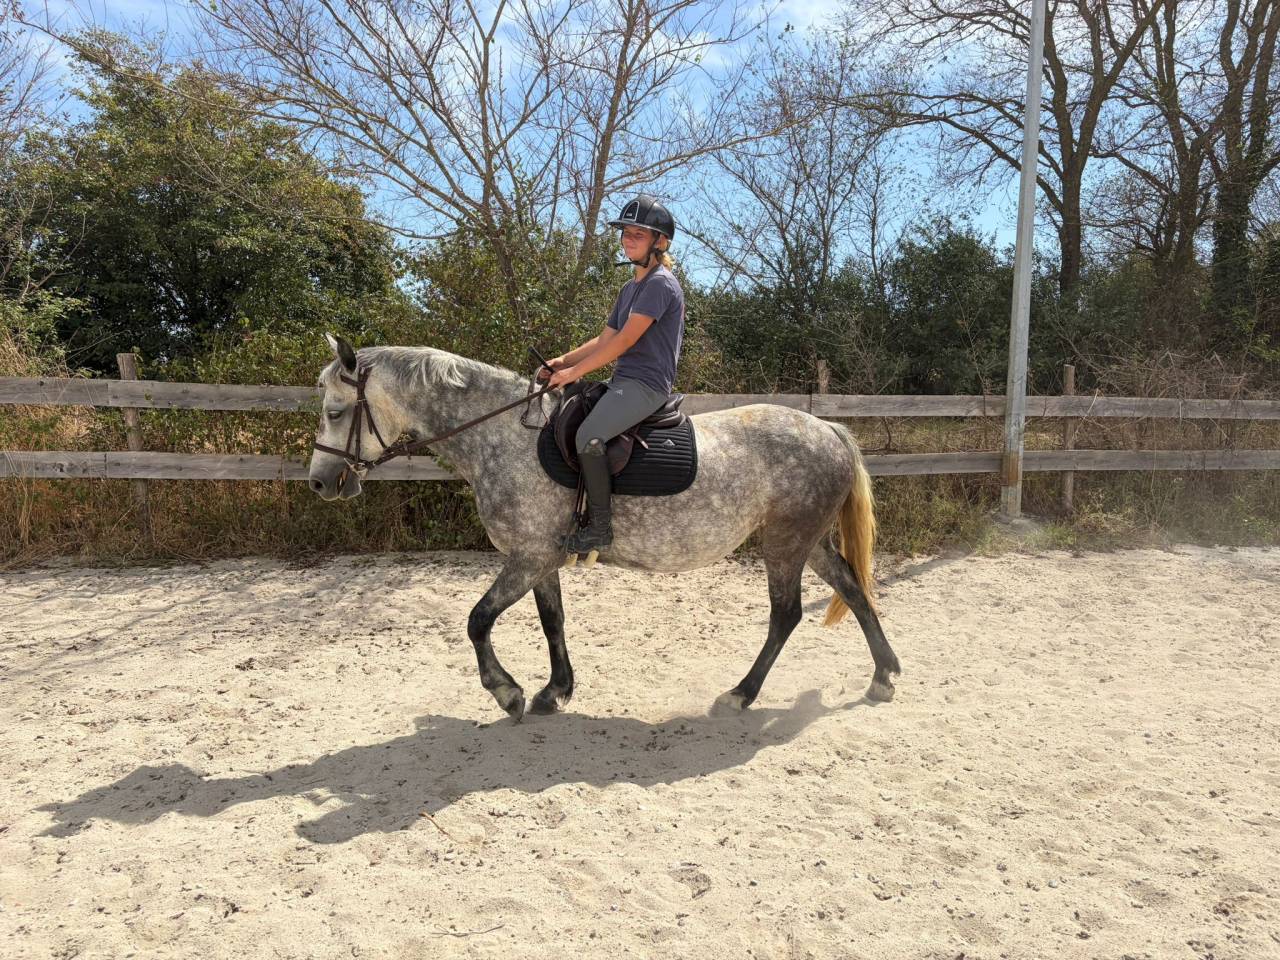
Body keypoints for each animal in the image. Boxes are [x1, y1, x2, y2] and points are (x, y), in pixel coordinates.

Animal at [307, 335, 901, 720]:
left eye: (335, 411)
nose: (319, 483)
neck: (503, 436)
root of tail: (826, 427)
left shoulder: (528, 557)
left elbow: (477, 621)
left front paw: (507, 693)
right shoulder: (539, 559)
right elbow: (552, 622)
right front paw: (554, 691)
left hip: (784, 544)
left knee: (786, 615)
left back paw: (742, 693)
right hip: (809, 541)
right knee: (854, 588)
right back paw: (882, 676)